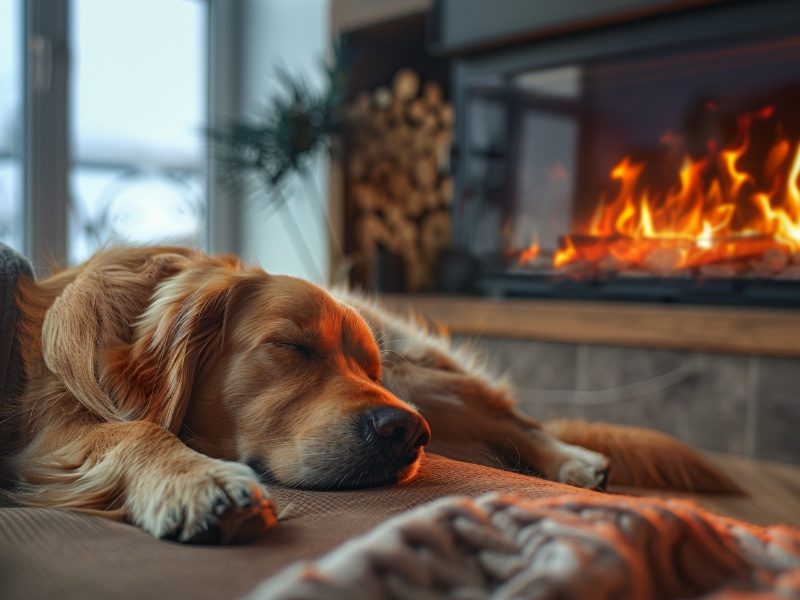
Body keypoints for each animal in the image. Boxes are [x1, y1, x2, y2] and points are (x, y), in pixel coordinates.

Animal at [0, 246, 740, 548]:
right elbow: (138, 429)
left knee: (515, 417)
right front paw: (197, 480)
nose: (406, 434)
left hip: (425, 381)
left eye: (369, 367)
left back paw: (574, 460)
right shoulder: (52, 431)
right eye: (291, 347)